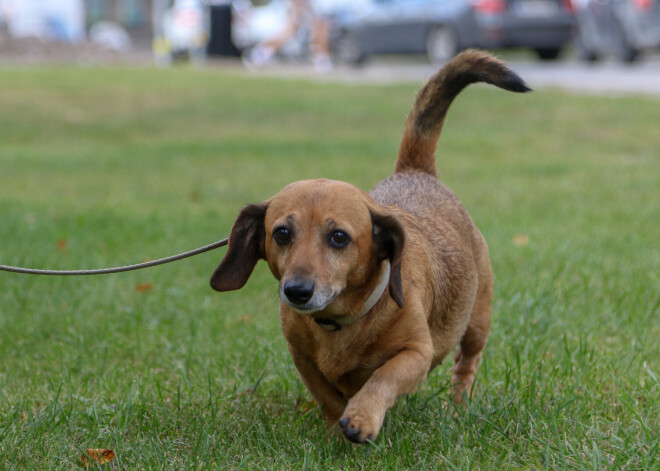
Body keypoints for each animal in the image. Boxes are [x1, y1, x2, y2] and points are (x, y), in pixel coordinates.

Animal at [211, 49, 532, 444]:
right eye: (282, 233)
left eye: (339, 237)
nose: (297, 291)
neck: (340, 321)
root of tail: (415, 171)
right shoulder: (303, 359)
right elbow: (328, 396)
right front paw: (337, 429)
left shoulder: (416, 354)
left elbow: (383, 378)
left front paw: (362, 417)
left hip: (477, 321)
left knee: (466, 364)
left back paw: (457, 406)